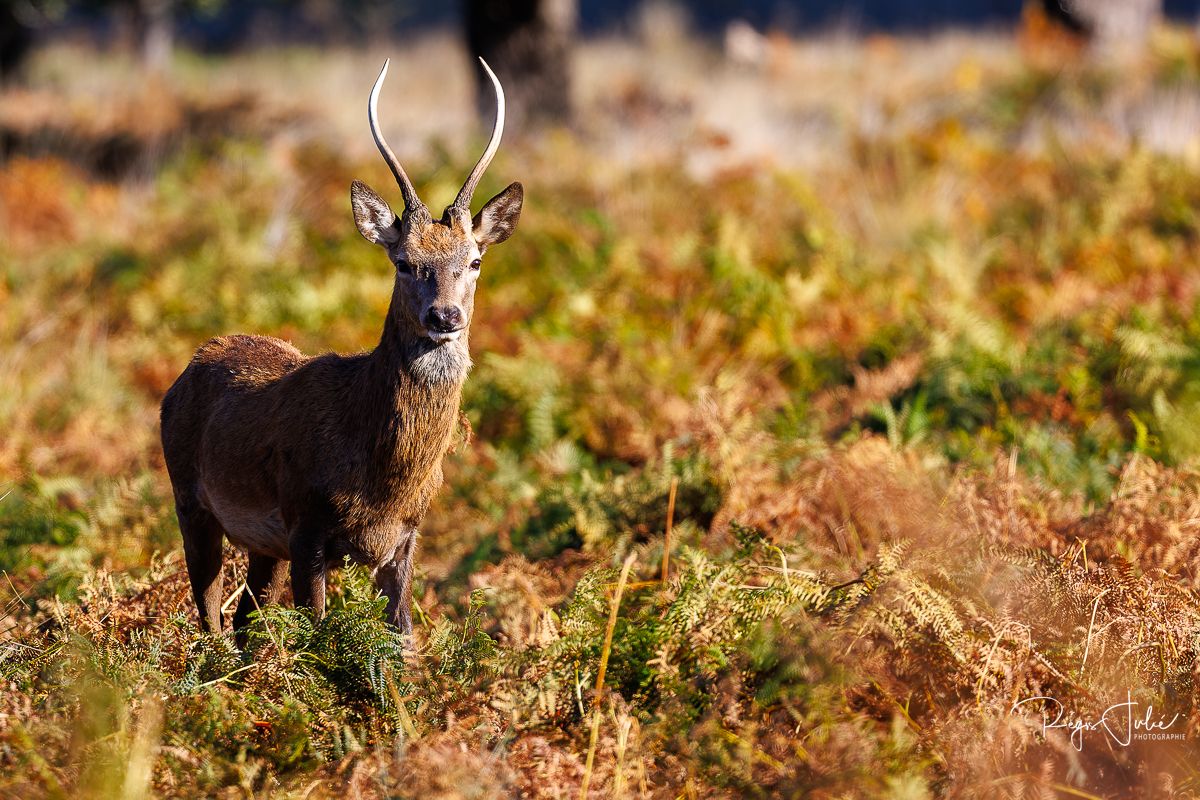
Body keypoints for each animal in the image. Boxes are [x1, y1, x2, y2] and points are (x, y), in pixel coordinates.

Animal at [159, 57, 520, 642]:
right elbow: (322, 640)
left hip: (262, 544)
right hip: (189, 499)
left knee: (243, 621)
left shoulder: (407, 538)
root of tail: (187, 369)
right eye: (403, 261)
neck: (383, 483)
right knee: (210, 617)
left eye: (475, 261)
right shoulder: (306, 524)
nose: (445, 316)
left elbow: (403, 640)